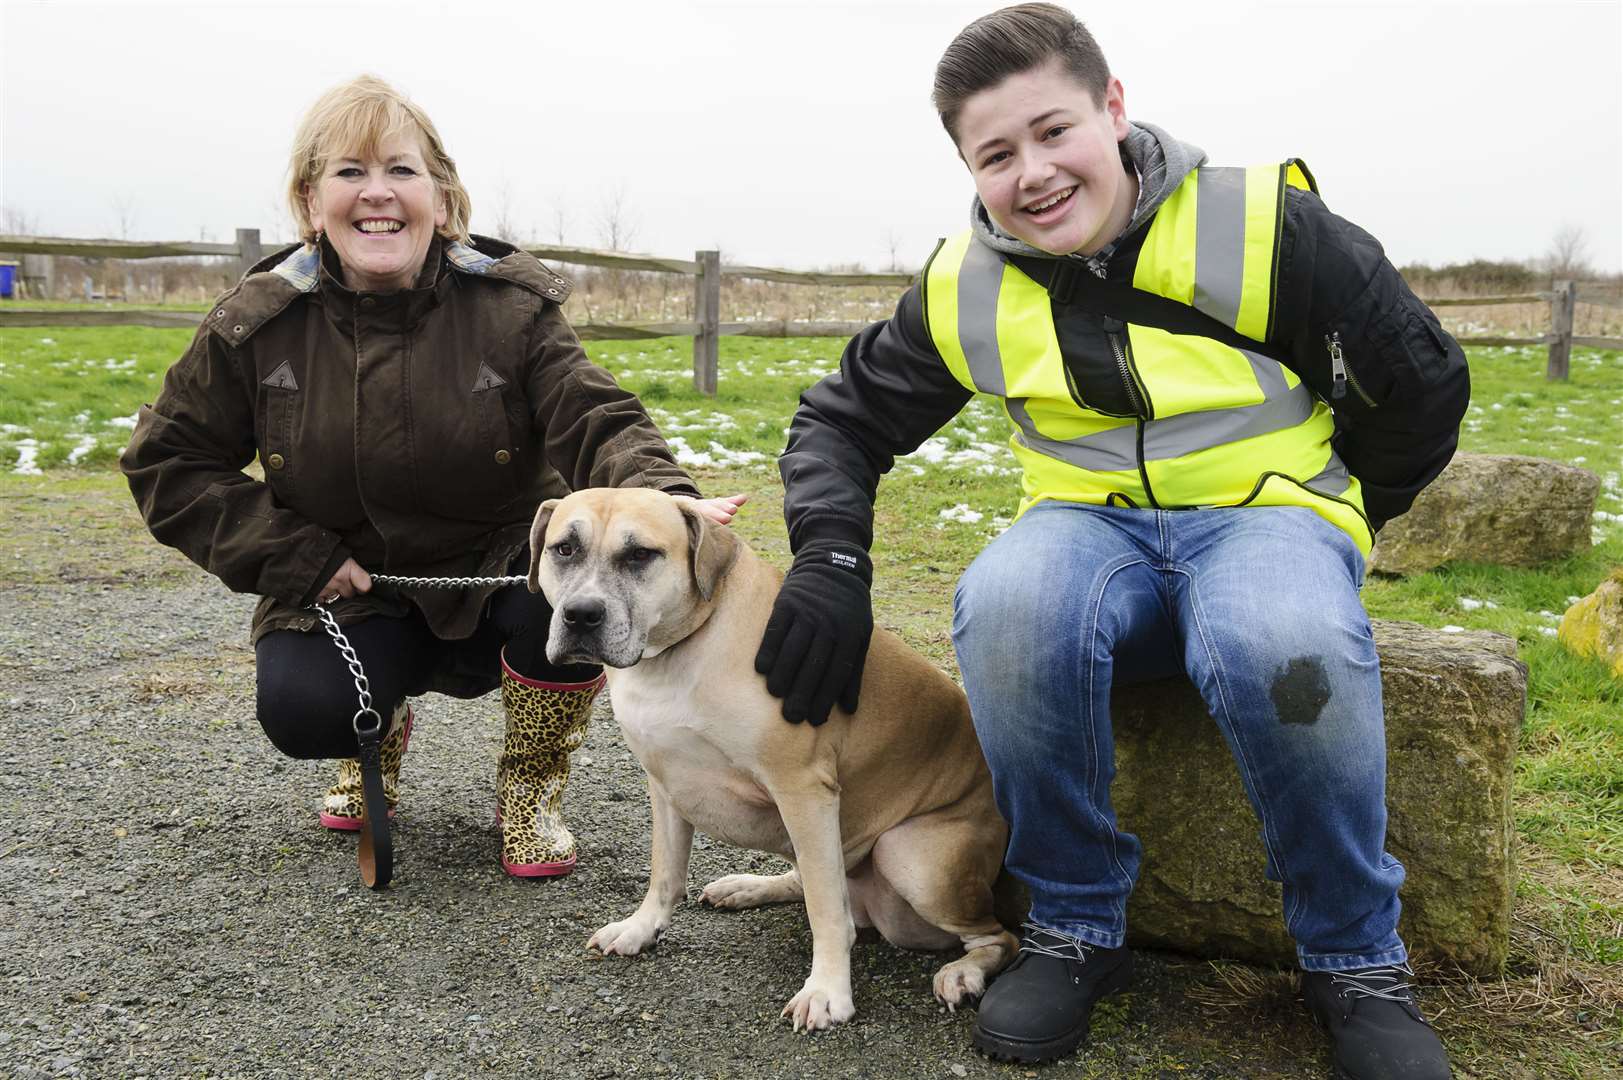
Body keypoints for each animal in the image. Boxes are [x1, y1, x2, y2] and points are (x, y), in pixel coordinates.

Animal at [529, 487, 1012, 1026]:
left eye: (640, 555)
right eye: (564, 549)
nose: (581, 614)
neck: (678, 653)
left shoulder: (802, 789)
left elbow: (827, 910)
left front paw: (827, 990)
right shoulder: (665, 784)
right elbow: (665, 872)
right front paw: (641, 928)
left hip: (910, 857)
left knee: (998, 936)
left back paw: (964, 973)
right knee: (807, 878)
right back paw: (748, 887)